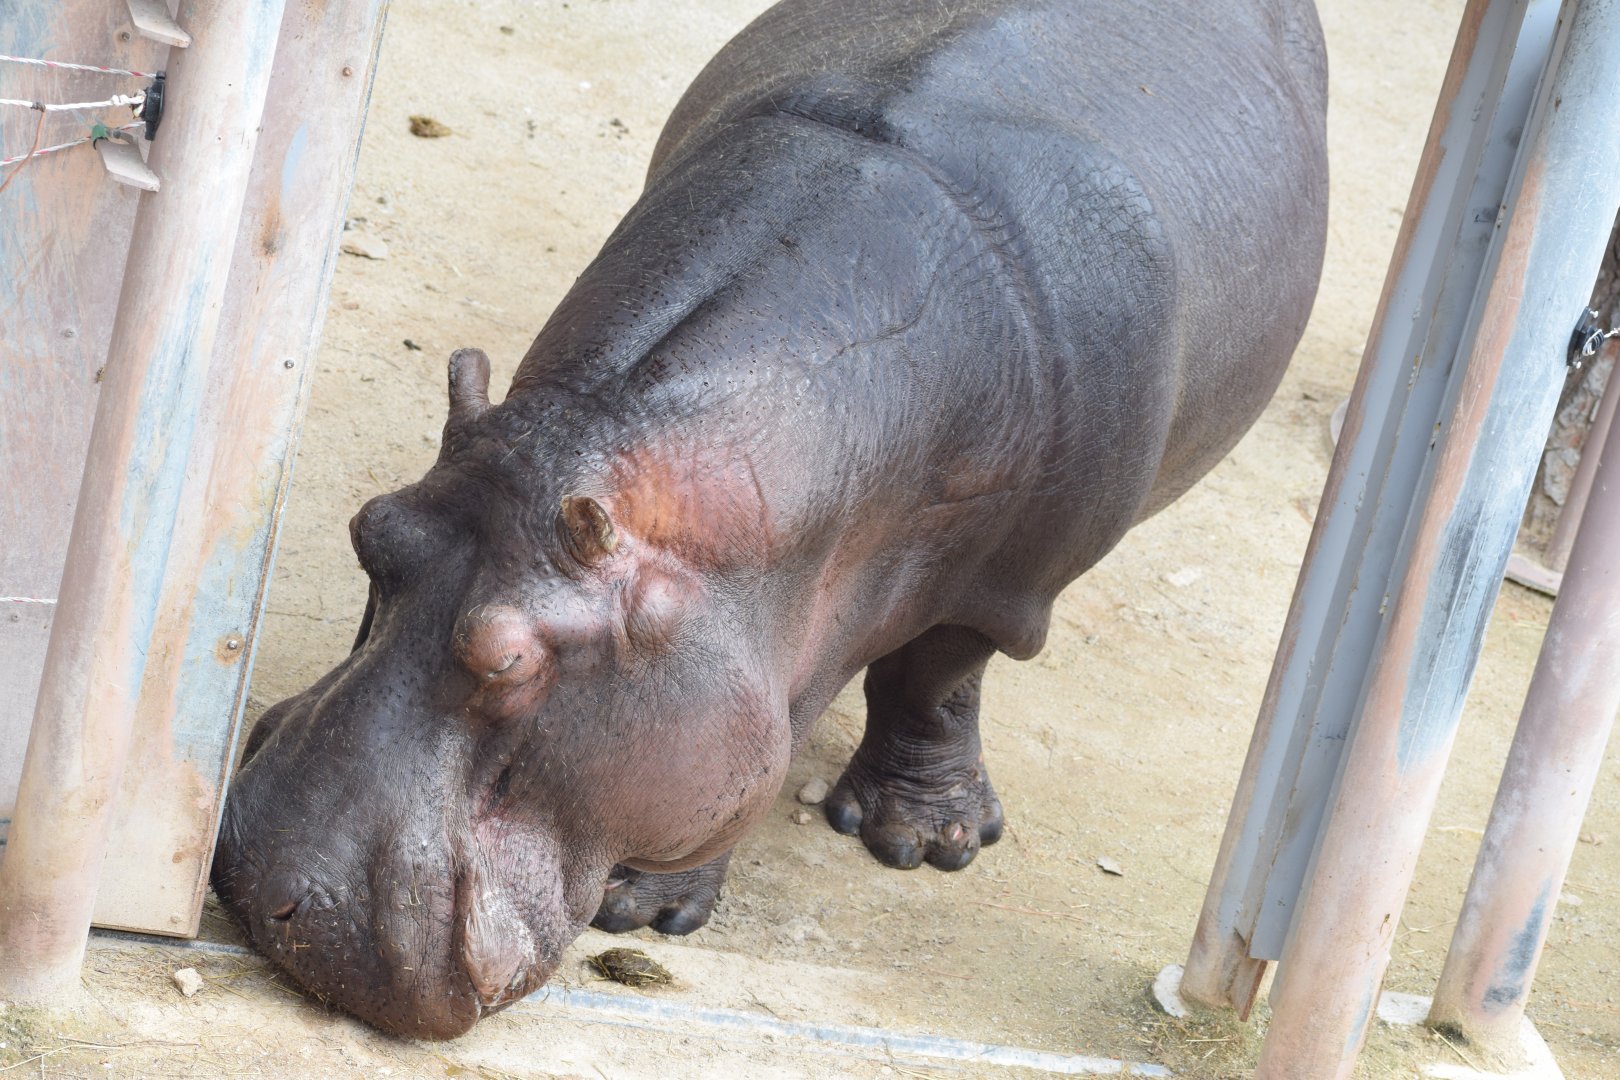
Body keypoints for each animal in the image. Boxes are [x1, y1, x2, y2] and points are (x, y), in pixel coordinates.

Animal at [212, 0, 1328, 1039]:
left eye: (508, 661)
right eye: (371, 531)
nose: (269, 897)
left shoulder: (1011, 586)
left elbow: (935, 676)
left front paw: (912, 847)